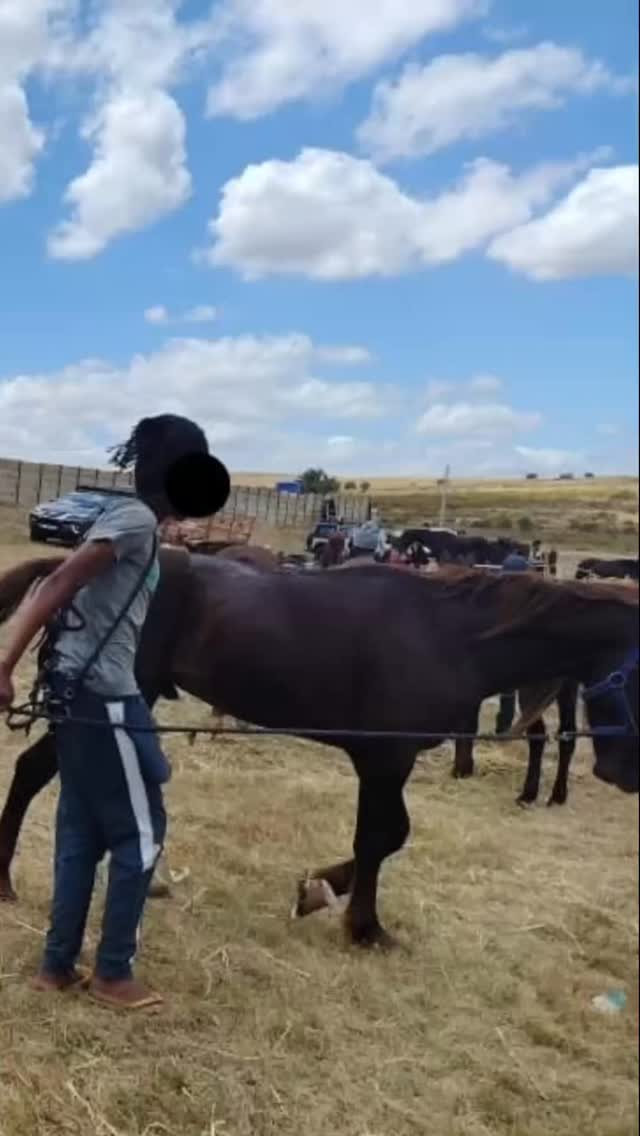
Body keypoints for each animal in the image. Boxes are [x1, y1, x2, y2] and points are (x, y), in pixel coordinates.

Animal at [0, 554, 637, 948]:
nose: (624, 773)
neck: (447, 634)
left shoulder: (385, 761)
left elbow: (387, 838)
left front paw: (319, 889)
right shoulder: (385, 760)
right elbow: (380, 837)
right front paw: (364, 926)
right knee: (31, 773)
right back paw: (5, 882)